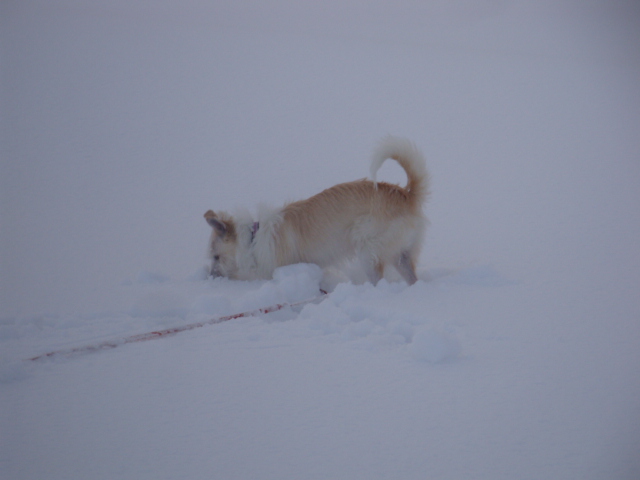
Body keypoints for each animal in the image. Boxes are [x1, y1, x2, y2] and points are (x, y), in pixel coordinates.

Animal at [202, 135, 428, 284]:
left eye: (216, 257)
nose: (210, 277)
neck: (253, 238)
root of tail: (406, 194)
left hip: (368, 250)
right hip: (401, 255)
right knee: (411, 276)